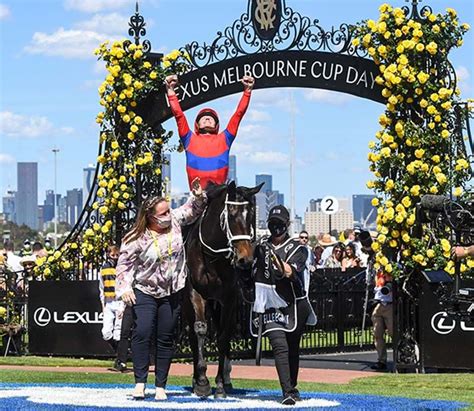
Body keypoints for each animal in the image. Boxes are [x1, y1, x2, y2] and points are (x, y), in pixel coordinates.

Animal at [182, 181, 262, 400]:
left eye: (252, 215)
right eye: (232, 214)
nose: (245, 259)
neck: (211, 256)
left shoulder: (229, 297)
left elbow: (224, 336)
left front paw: (219, 384)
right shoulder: (195, 292)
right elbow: (200, 330)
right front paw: (202, 381)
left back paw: (226, 378)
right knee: (192, 333)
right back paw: (196, 379)